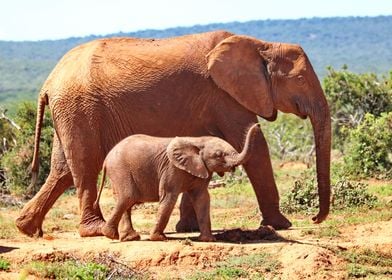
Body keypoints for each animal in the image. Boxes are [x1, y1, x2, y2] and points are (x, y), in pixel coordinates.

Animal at [95, 123, 260, 242]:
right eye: (219, 155)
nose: (257, 125)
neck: (197, 141)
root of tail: (106, 159)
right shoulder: (172, 168)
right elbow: (169, 197)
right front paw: (159, 238)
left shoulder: (202, 169)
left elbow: (202, 198)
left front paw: (208, 240)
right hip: (120, 170)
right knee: (127, 197)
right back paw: (110, 235)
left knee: (125, 200)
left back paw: (129, 238)